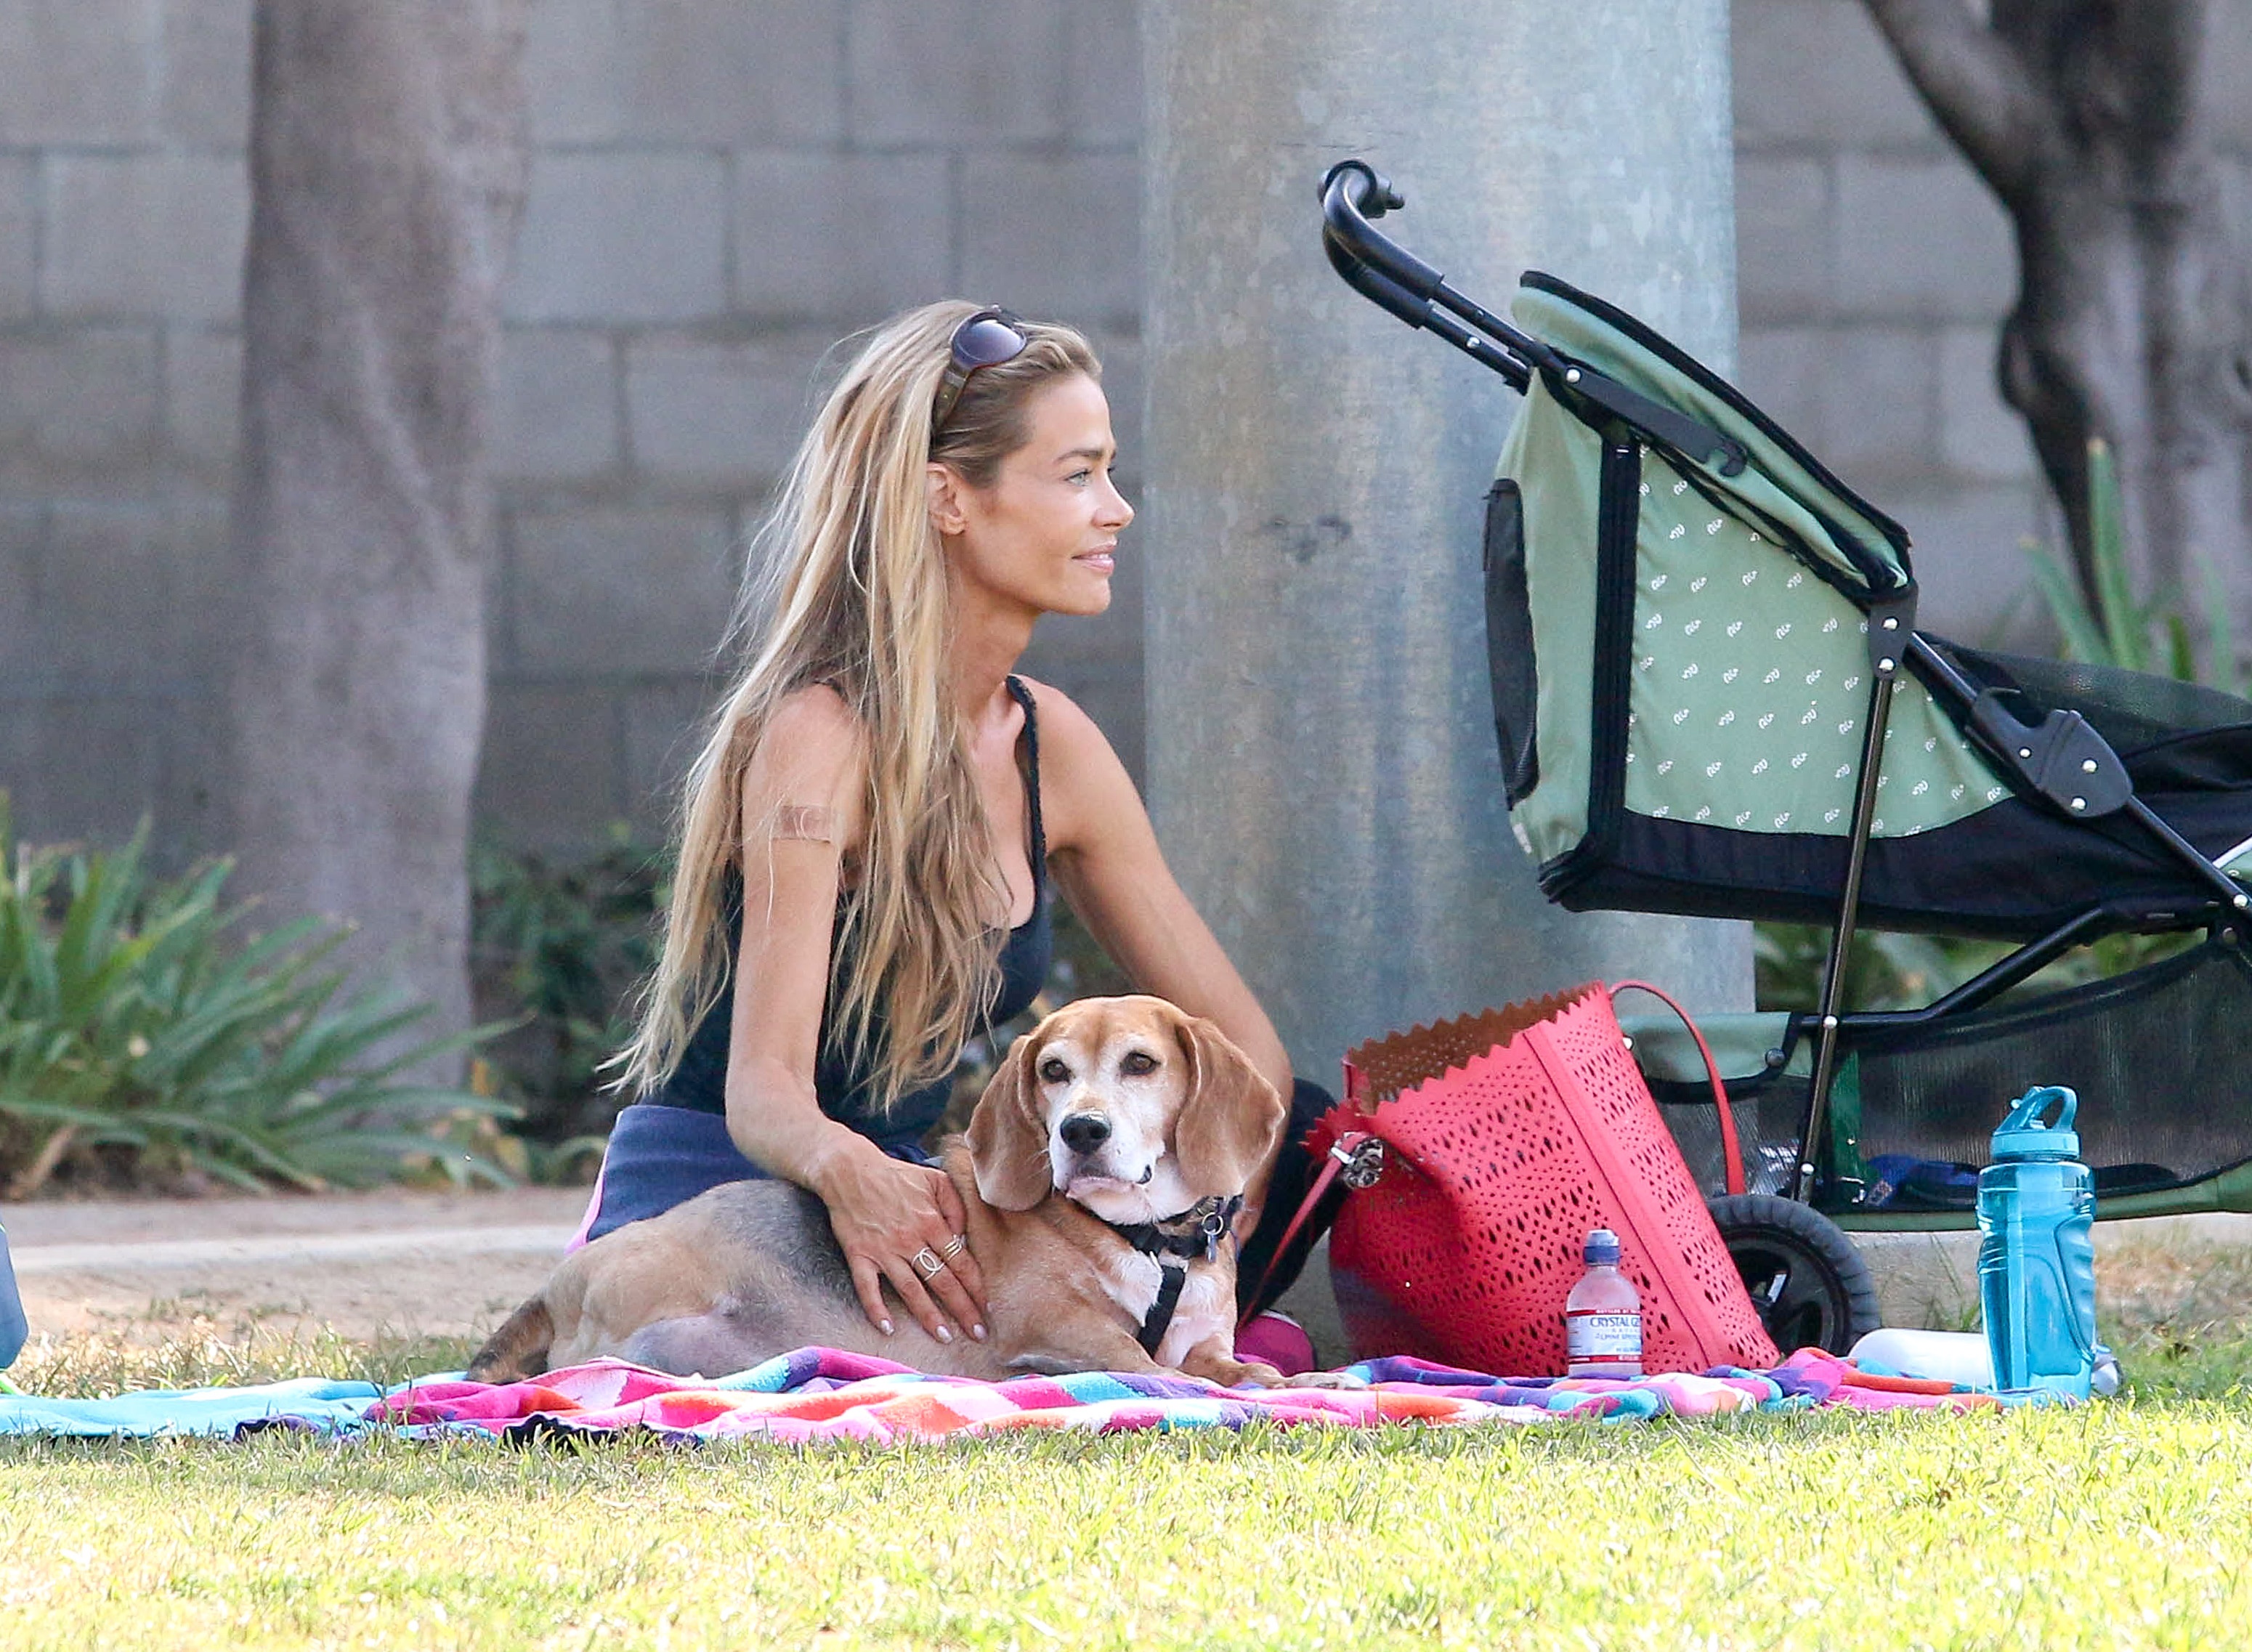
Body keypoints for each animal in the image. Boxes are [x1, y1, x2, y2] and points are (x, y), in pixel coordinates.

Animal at [463, 1003, 1324, 1395]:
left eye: (1140, 1063)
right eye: (1053, 1071)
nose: (1079, 1132)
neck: (1147, 1238)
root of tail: (554, 1288)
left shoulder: (1204, 1339)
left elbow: (1241, 1366)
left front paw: (1300, 1383)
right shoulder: (1061, 1329)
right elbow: (1155, 1364)